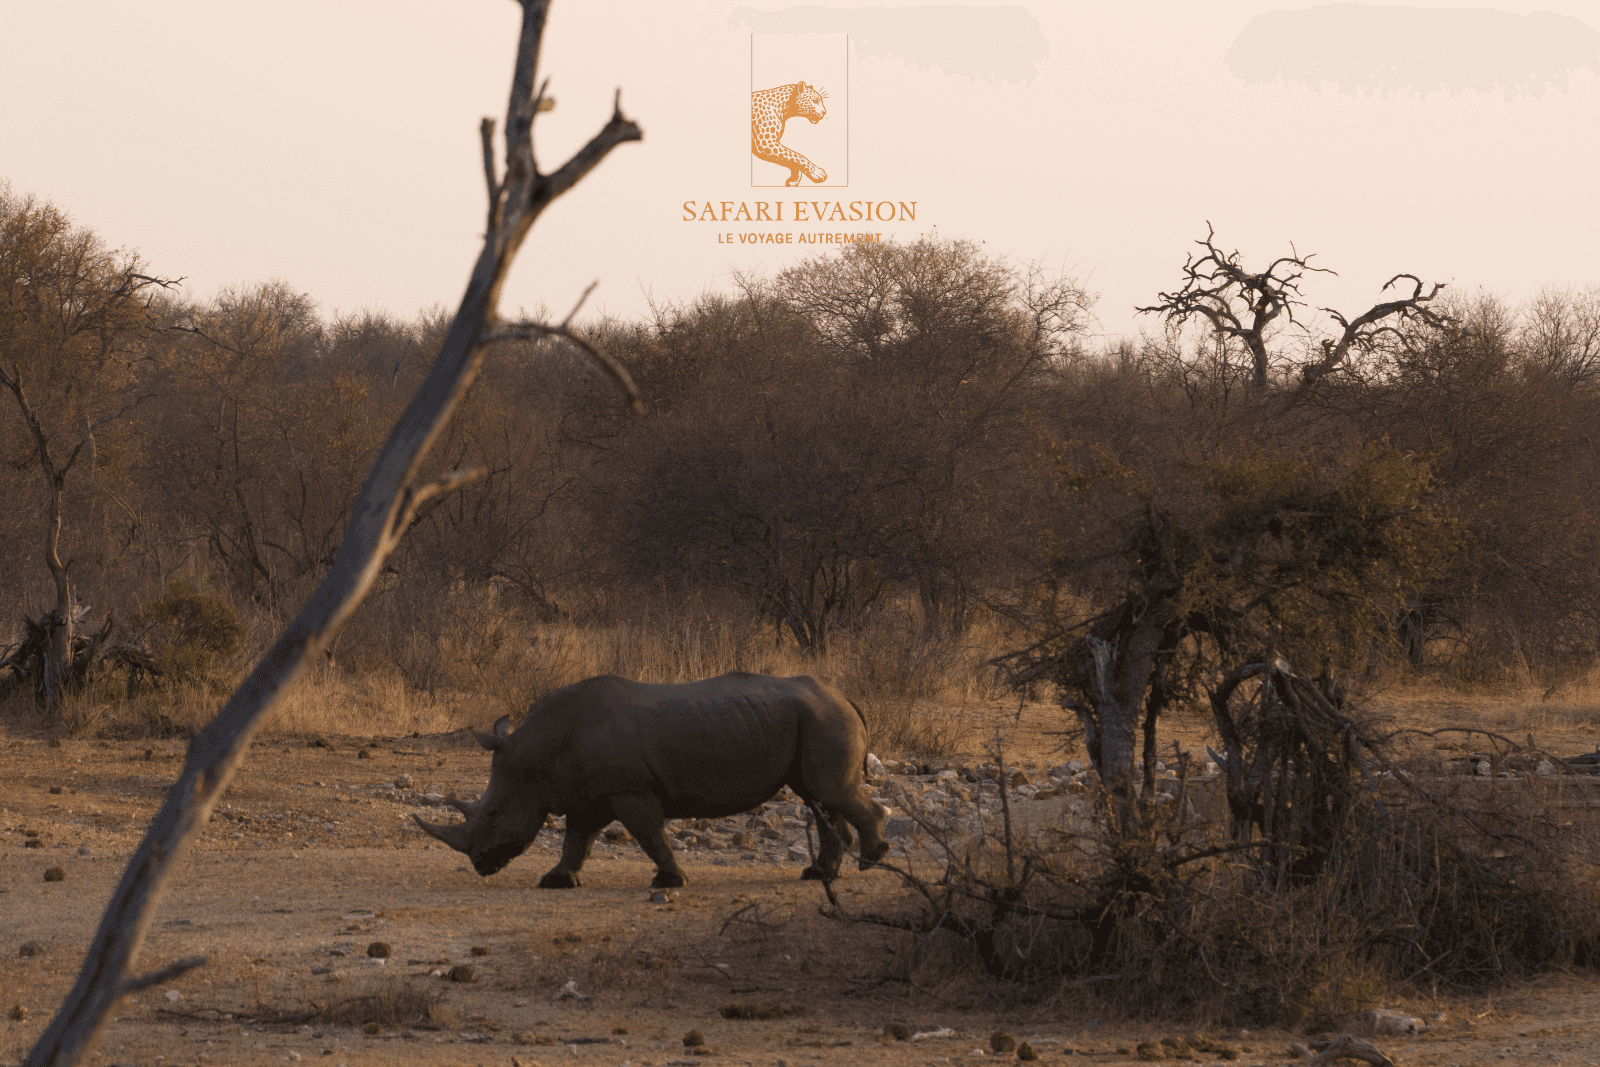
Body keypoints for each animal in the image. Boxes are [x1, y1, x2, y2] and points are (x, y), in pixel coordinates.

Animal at [413, 672, 890, 887]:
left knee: (827, 793)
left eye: (493, 812)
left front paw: (670, 881)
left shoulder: (629, 788)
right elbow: (577, 838)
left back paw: (871, 861)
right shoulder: (590, 793)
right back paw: (819, 875)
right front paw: (557, 880)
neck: (537, 752)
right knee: (818, 797)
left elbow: (647, 833)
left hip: (824, 719)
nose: (480, 865)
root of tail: (846, 697)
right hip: (815, 719)